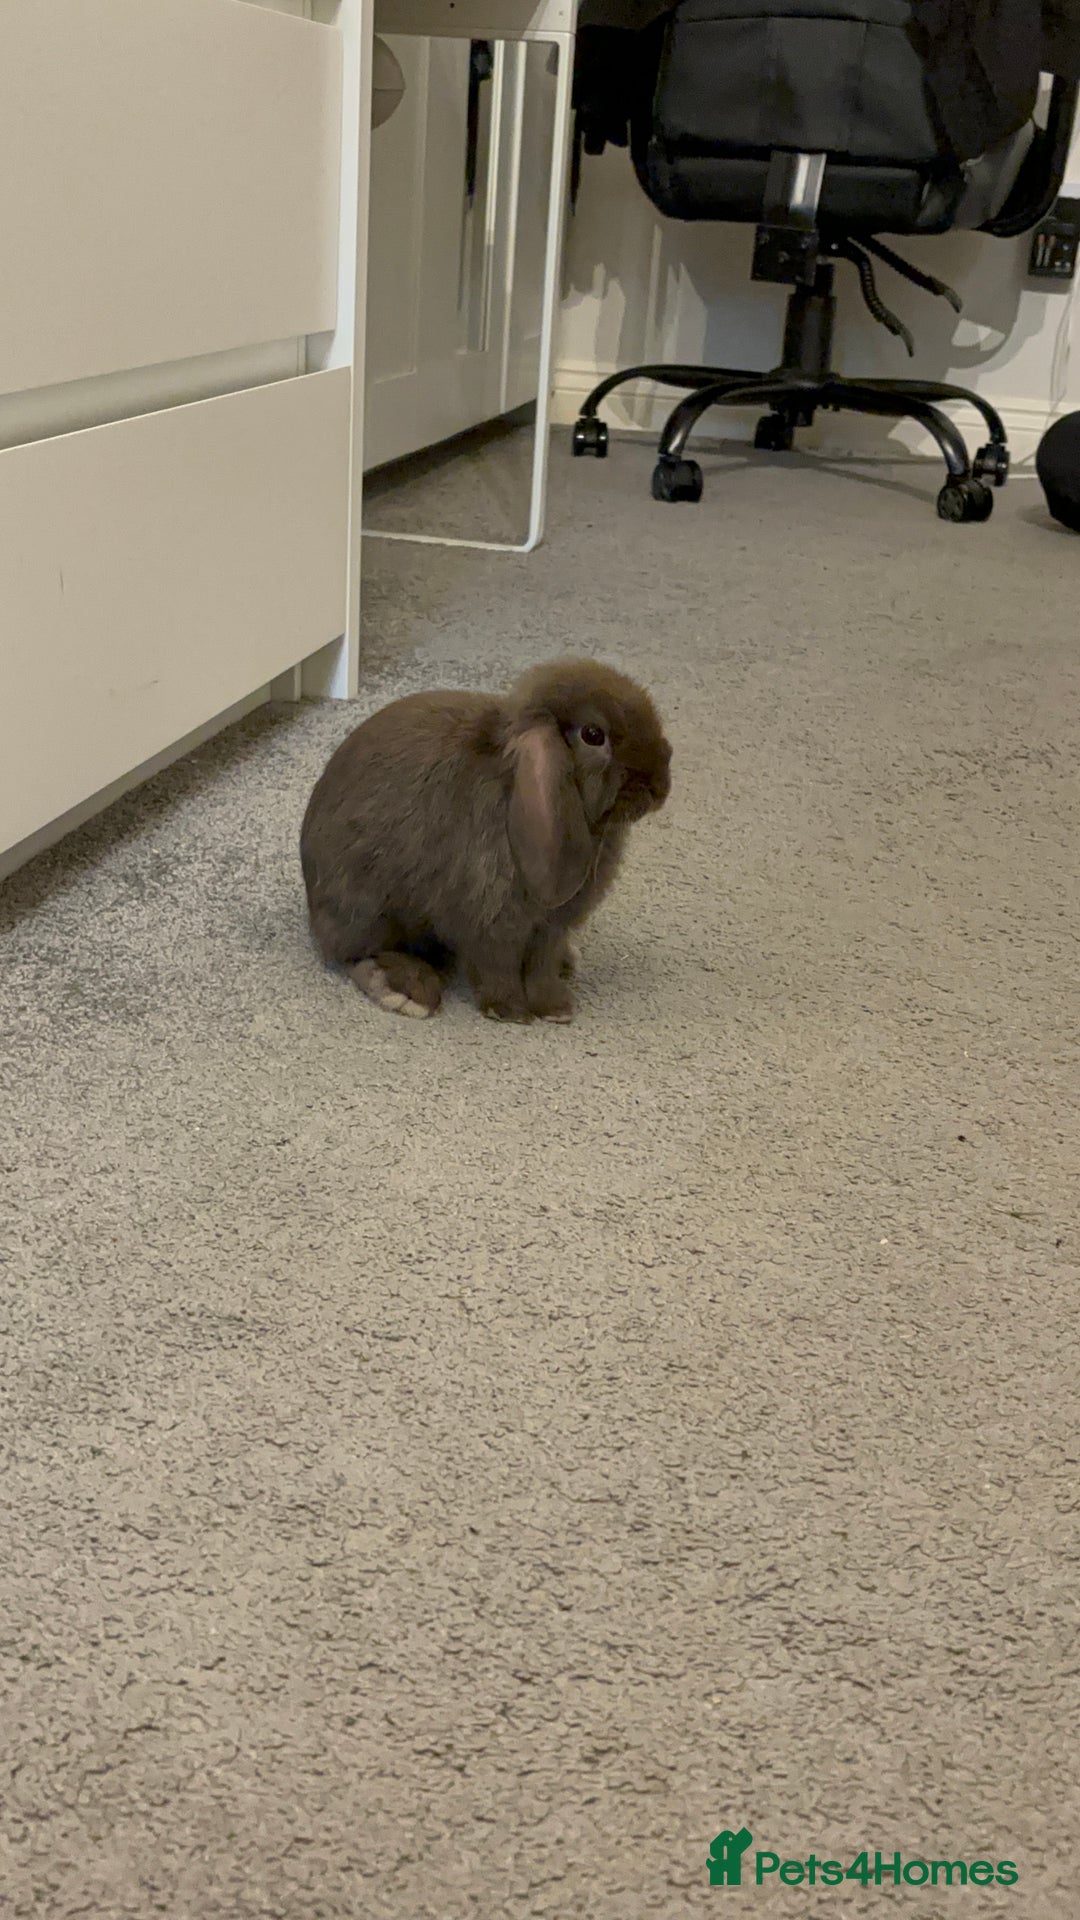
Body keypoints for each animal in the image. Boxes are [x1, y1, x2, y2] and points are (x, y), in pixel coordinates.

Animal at [300, 658, 671, 1024]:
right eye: (593, 735)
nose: (660, 787)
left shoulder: (550, 928)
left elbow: (542, 966)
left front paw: (556, 1008)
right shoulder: (492, 919)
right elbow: (498, 965)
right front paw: (510, 1011)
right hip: (367, 910)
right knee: (356, 954)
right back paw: (406, 990)